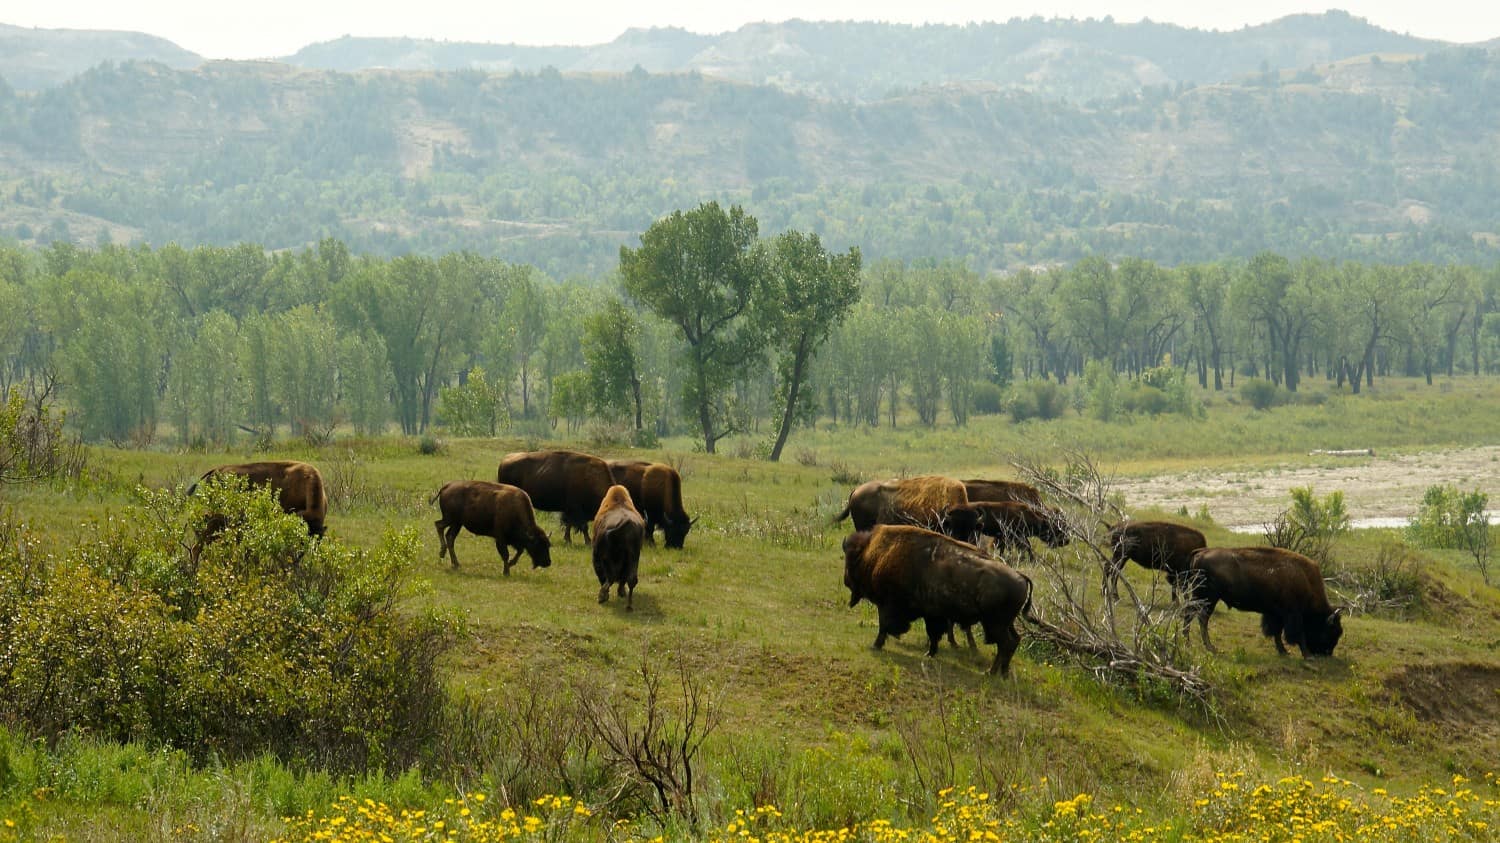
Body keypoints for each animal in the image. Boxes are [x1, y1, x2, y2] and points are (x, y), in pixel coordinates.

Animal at [846, 522, 1032, 672]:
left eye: (850, 562)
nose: (846, 581)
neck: (873, 553)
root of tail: (1021, 576)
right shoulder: (932, 615)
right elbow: (933, 634)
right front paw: (929, 653)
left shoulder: (887, 605)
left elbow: (884, 626)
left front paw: (876, 645)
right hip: (1006, 624)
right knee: (1014, 641)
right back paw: (1003, 672)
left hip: (995, 625)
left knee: (1005, 644)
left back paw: (991, 672)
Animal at [942, 498, 1074, 558]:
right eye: (1056, 527)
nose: (1066, 541)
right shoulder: (1015, 536)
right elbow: (1024, 546)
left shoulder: (1008, 536)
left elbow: (1010, 547)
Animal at [1182, 546, 1350, 657]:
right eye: (1331, 631)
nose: (1327, 653)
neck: (1305, 579)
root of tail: (1201, 552)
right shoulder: (1293, 615)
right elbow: (1297, 633)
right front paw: (1306, 654)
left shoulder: (1276, 614)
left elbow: (1276, 632)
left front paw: (1283, 651)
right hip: (1208, 598)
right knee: (1201, 618)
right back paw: (1210, 647)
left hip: (1202, 597)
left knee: (1191, 615)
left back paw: (1189, 642)